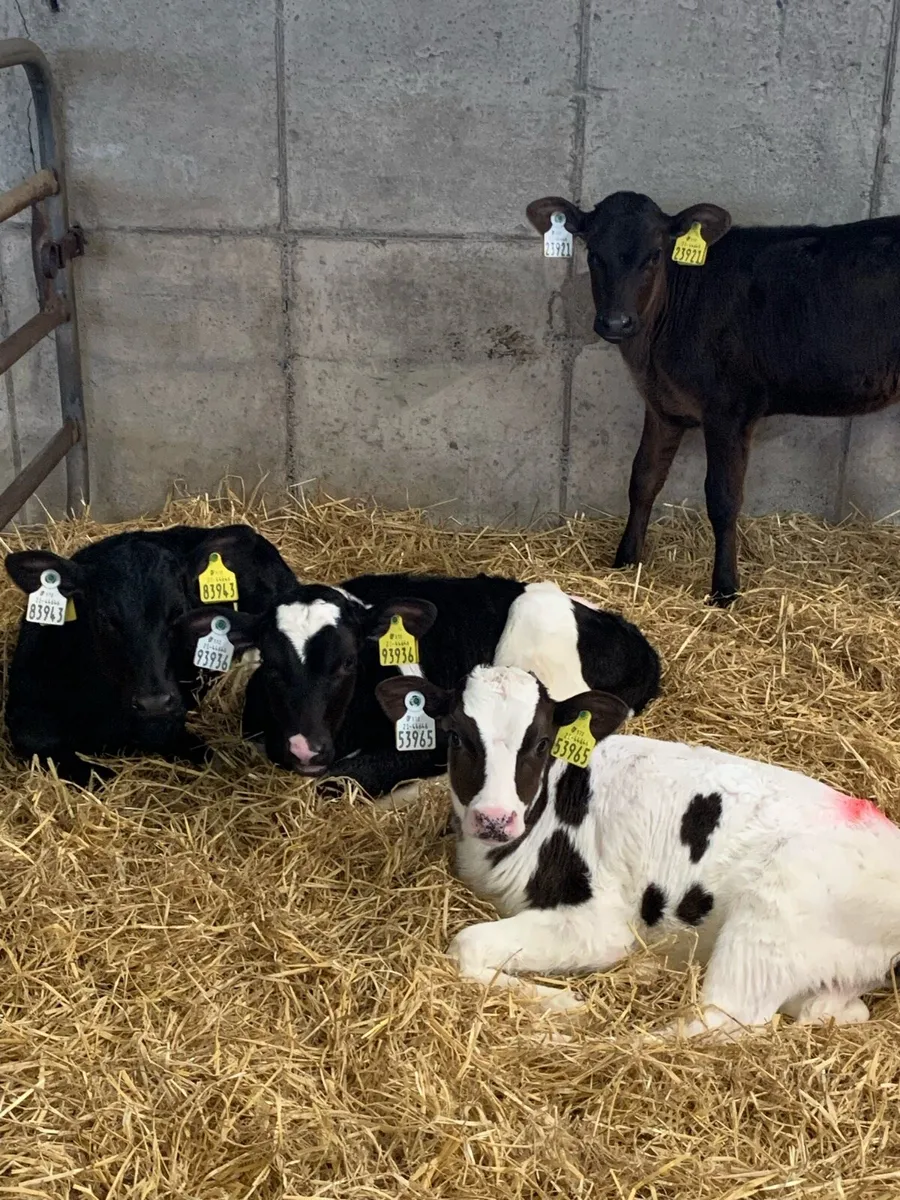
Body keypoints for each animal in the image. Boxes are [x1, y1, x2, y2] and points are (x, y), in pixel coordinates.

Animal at [376, 664, 900, 1038]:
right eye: (457, 735)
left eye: (542, 742)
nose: (494, 818)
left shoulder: (600, 923)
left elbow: (465, 943)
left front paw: (561, 1003)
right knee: (829, 1009)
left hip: (769, 921)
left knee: (719, 1020)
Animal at [527, 190, 900, 604]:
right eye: (593, 253)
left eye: (654, 254)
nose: (615, 322)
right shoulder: (662, 406)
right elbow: (643, 479)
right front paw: (625, 560)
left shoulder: (730, 411)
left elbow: (723, 499)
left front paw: (724, 589)